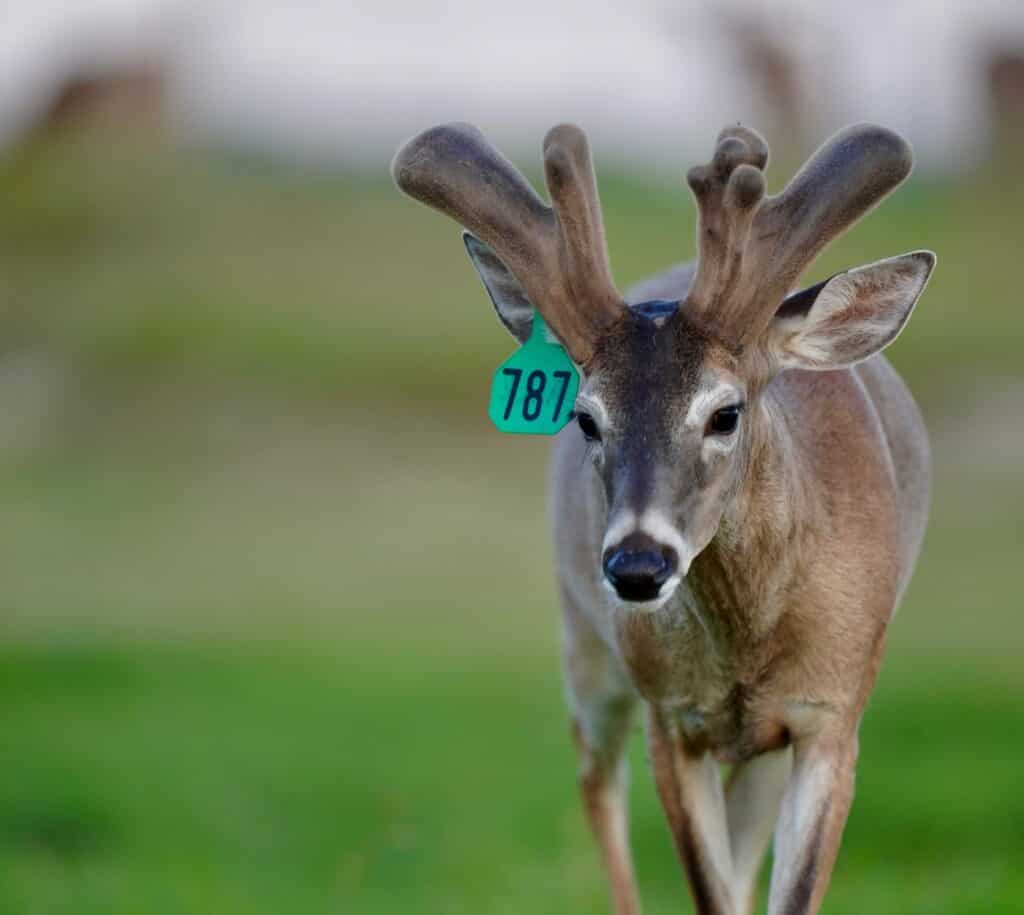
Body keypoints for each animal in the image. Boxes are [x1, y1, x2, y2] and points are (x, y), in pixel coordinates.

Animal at [391, 119, 934, 915]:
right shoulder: (670, 716)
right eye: (585, 417)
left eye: (726, 412)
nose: (638, 565)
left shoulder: (832, 711)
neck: (748, 645)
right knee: (599, 794)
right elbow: (708, 888)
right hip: (586, 648)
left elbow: (784, 890)